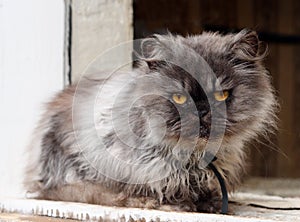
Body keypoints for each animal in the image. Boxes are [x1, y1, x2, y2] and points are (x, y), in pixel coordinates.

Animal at [24, 29, 276, 212]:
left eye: (221, 95)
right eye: (179, 97)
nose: (202, 112)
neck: (194, 155)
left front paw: (210, 203)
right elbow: (155, 187)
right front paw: (176, 204)